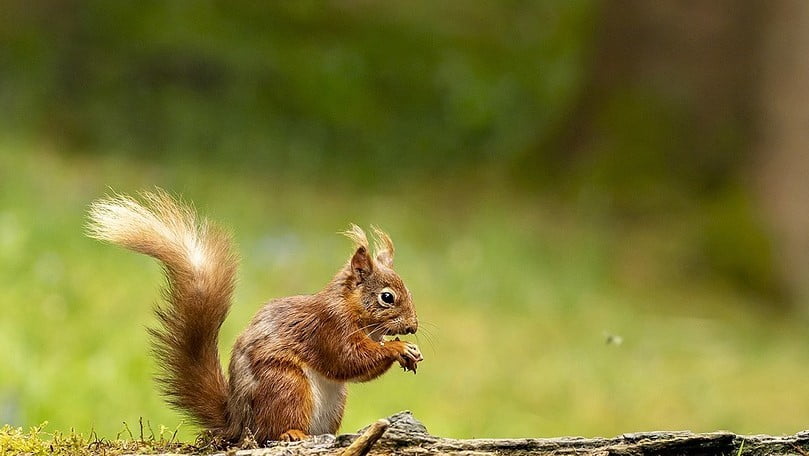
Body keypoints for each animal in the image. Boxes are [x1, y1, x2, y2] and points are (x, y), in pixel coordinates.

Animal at [87, 189, 422, 442]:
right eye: (387, 297)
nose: (413, 327)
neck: (351, 308)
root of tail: (238, 421)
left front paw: (410, 351)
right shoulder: (328, 327)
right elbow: (348, 359)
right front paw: (398, 348)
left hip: (333, 402)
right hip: (286, 385)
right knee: (270, 432)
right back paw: (291, 434)